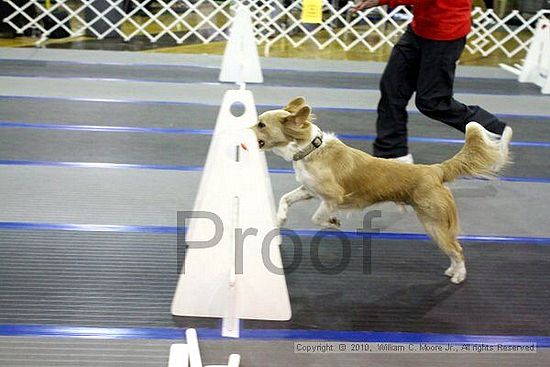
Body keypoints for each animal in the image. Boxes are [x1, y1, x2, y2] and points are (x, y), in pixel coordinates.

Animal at [253, 96, 512, 284]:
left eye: (261, 125)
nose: (245, 131)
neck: (310, 148)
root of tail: (435, 170)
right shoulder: (309, 190)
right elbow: (286, 198)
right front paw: (280, 218)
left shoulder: (333, 196)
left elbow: (317, 218)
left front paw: (332, 222)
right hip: (435, 225)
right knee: (453, 248)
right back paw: (452, 270)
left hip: (434, 222)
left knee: (457, 249)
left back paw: (459, 275)